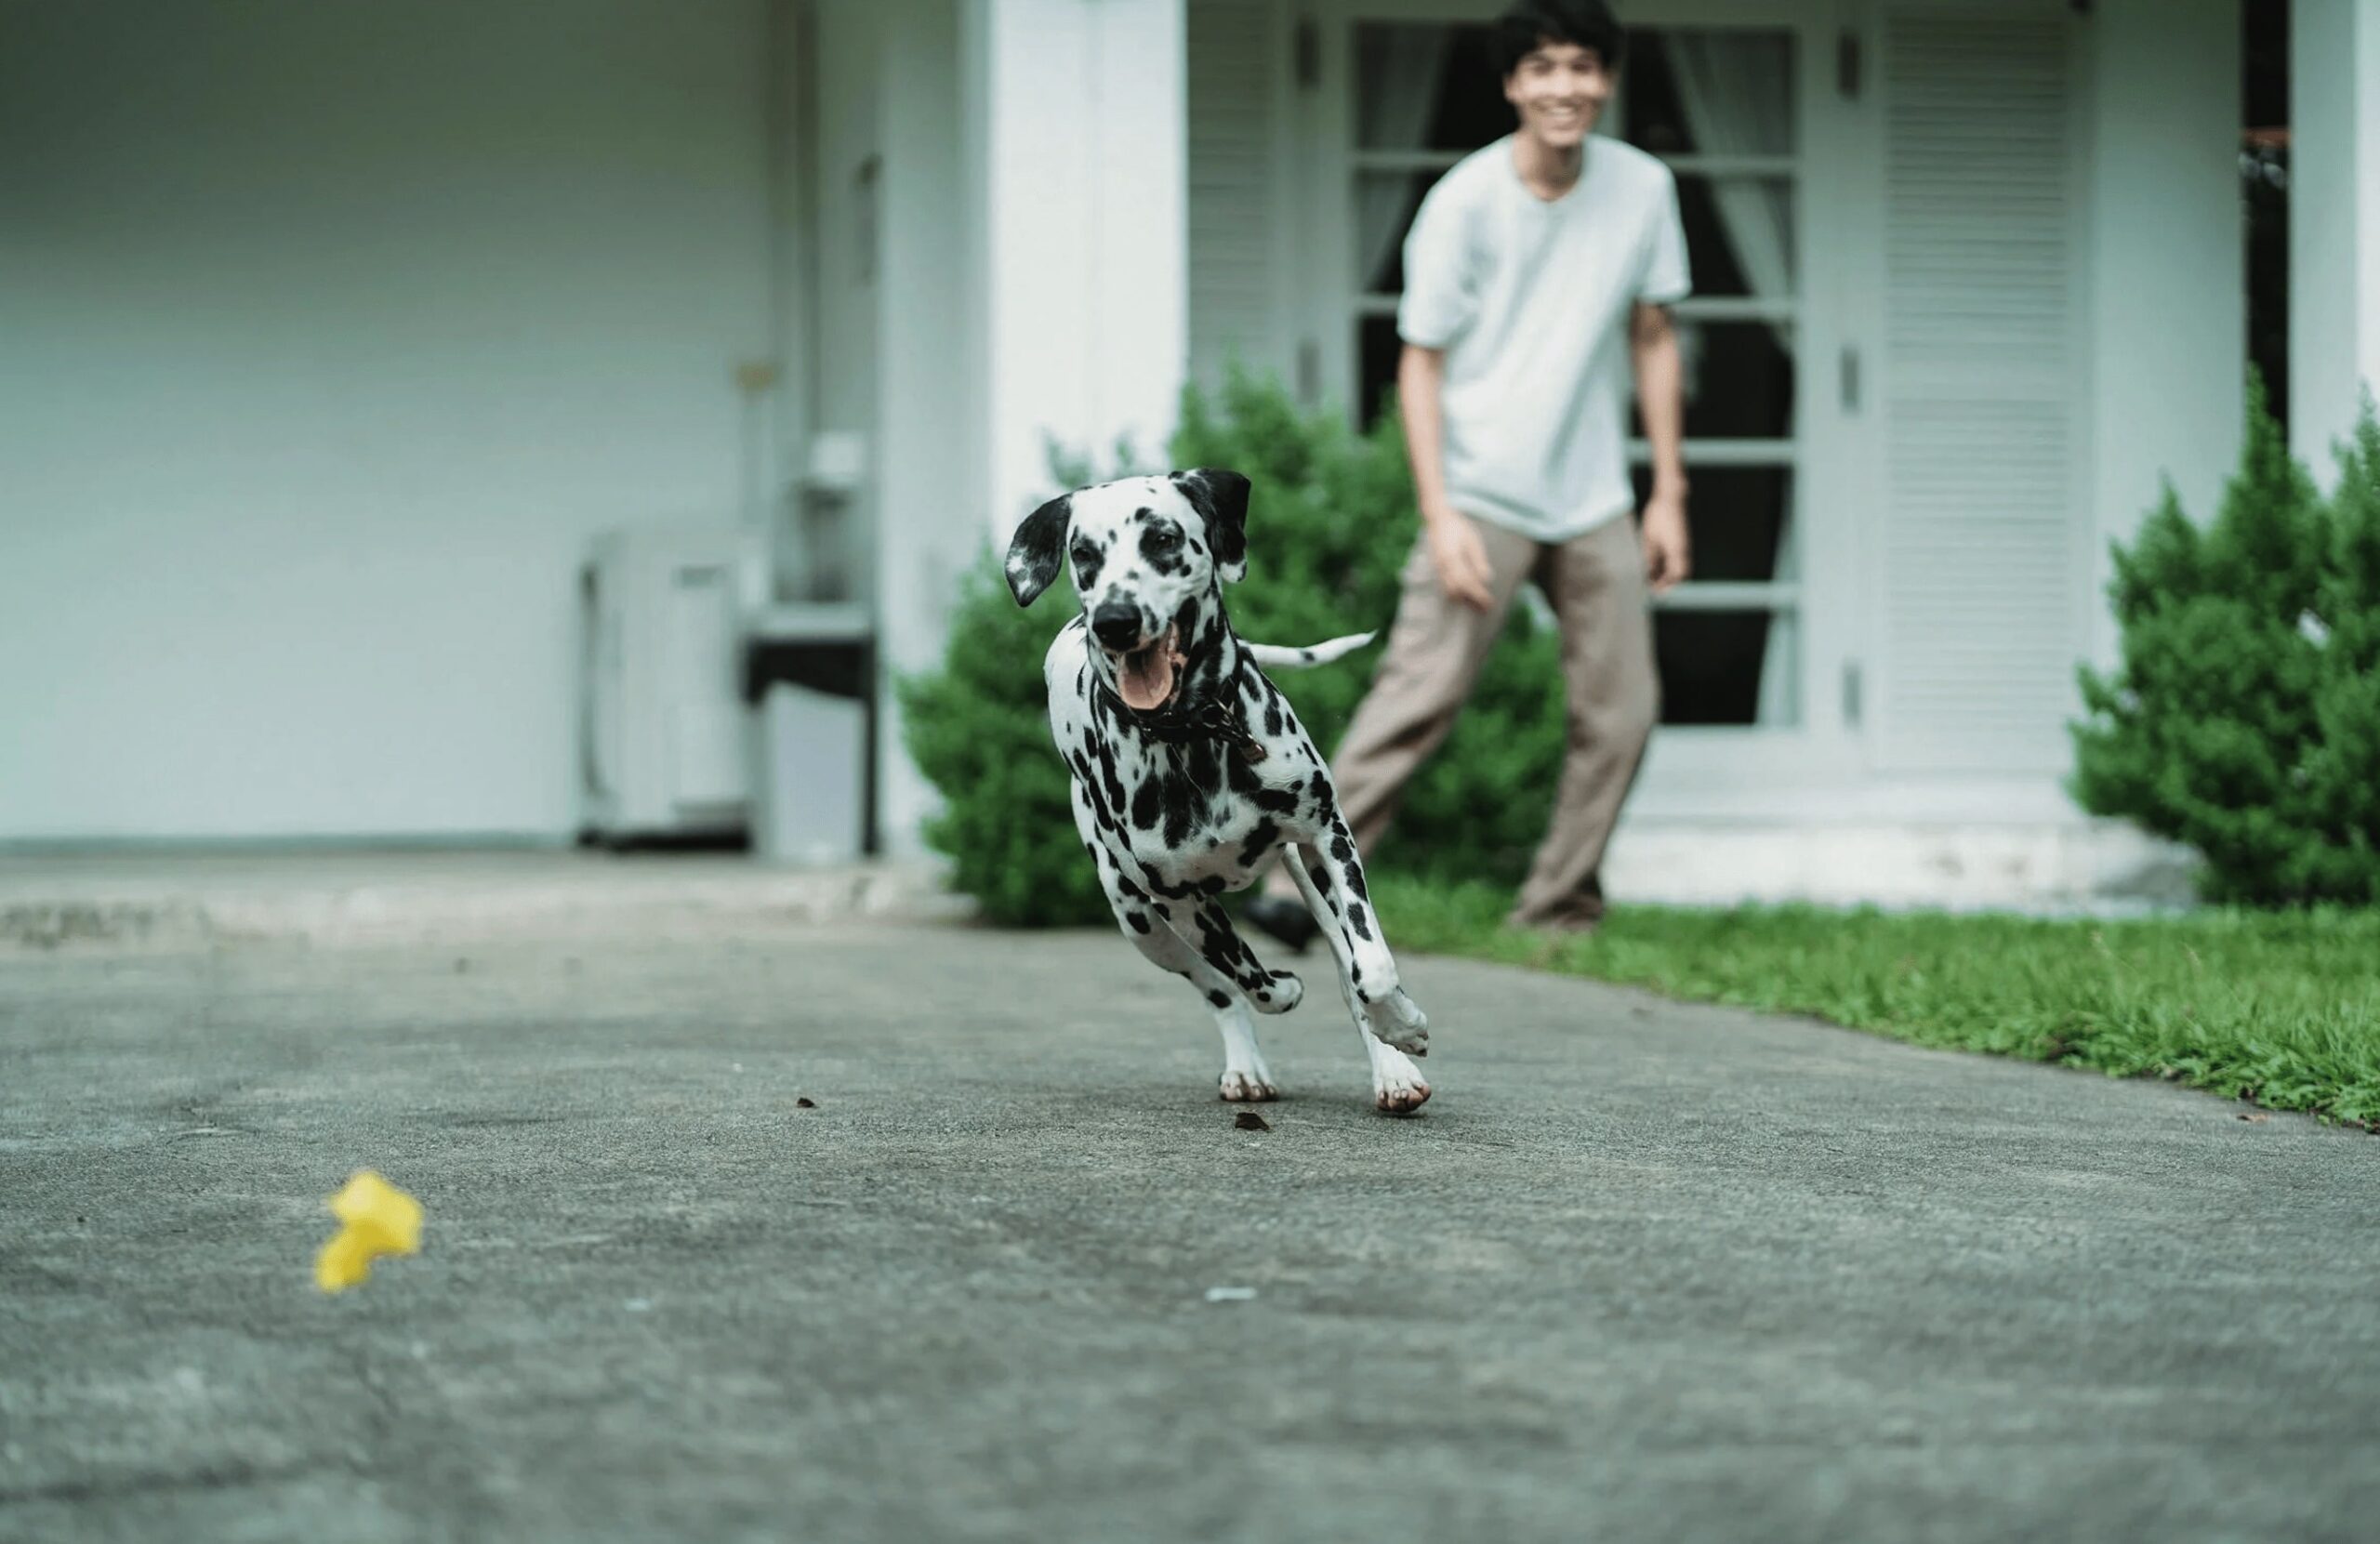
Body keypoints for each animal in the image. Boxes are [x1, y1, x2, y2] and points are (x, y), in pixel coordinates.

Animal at [1004, 466, 1428, 1108]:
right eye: (1084, 554)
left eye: (1162, 539)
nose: (1115, 620)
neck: (1196, 736)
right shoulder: (1181, 902)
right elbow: (1251, 979)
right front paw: (1283, 990)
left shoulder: (1328, 838)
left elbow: (1371, 967)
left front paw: (1402, 1027)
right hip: (1138, 919)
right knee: (1219, 989)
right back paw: (1246, 1064)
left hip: (1302, 874)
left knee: (1346, 964)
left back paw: (1392, 1066)